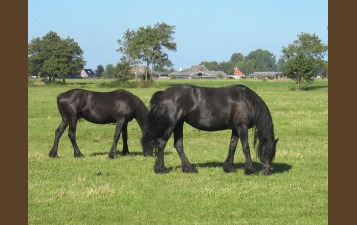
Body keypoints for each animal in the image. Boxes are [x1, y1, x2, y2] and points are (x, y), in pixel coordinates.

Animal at [142, 84, 278, 174]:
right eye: (265, 152)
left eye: (273, 154)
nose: (266, 171)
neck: (246, 101)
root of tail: (163, 93)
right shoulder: (242, 127)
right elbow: (246, 148)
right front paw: (250, 169)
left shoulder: (235, 129)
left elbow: (232, 147)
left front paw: (229, 167)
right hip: (171, 125)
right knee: (161, 143)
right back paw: (160, 169)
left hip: (178, 124)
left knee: (178, 145)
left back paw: (189, 168)